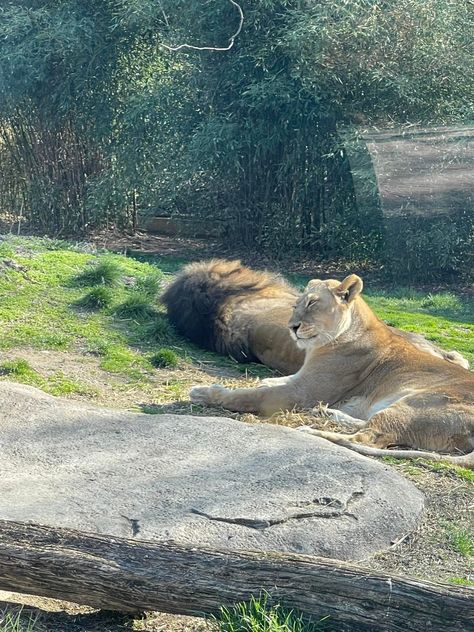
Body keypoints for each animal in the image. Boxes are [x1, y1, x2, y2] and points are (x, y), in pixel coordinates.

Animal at [189, 272, 474, 470]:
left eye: (313, 304)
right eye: (295, 305)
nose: (291, 327)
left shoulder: (302, 392)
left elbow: (249, 396)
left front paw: (206, 393)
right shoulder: (300, 379)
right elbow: (271, 381)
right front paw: (263, 381)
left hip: (415, 403)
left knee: (365, 439)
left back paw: (312, 430)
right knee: (366, 425)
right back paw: (327, 412)